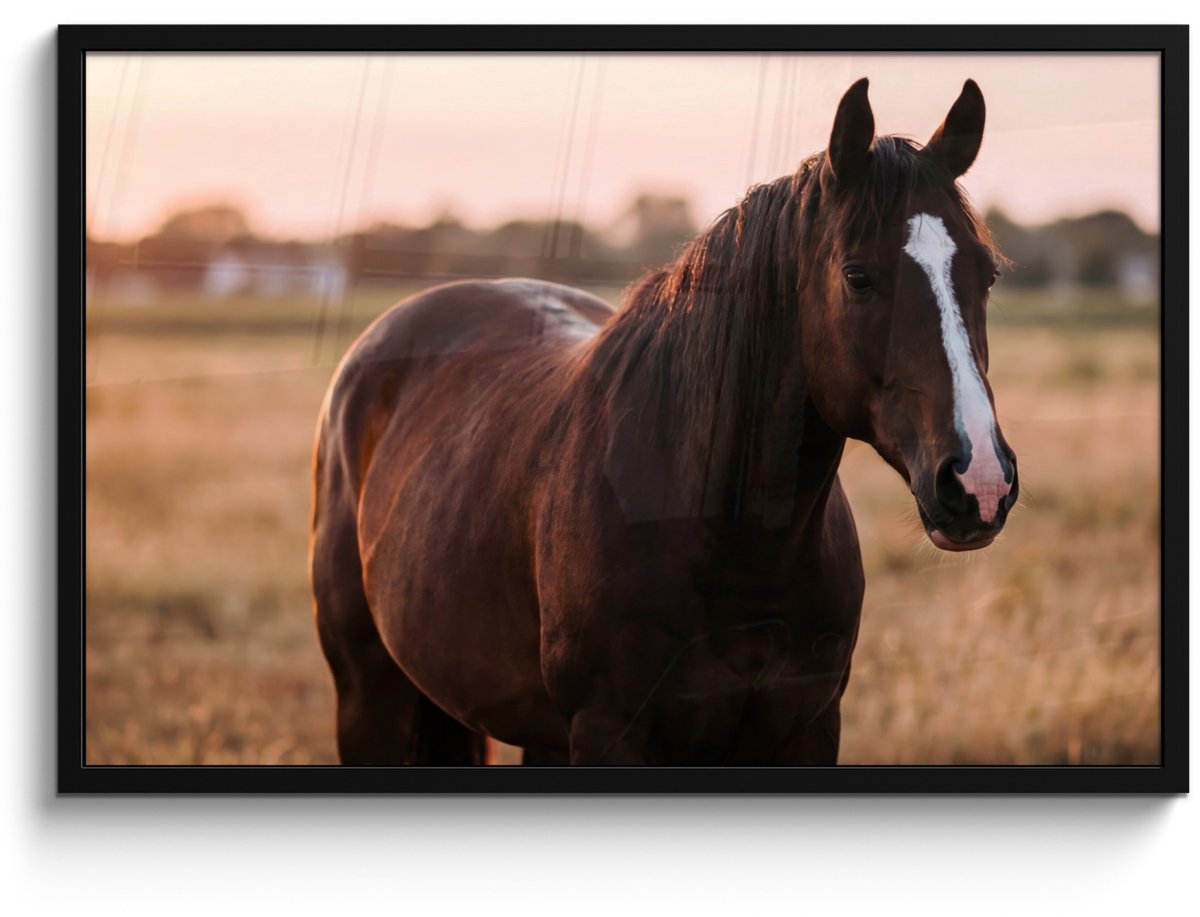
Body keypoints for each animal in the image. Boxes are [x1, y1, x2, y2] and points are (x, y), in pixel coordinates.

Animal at [309, 78, 1018, 766]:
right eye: (858, 277)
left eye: (987, 275)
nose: (979, 481)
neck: (731, 544)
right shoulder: (610, 733)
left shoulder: (808, 730)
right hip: (367, 698)